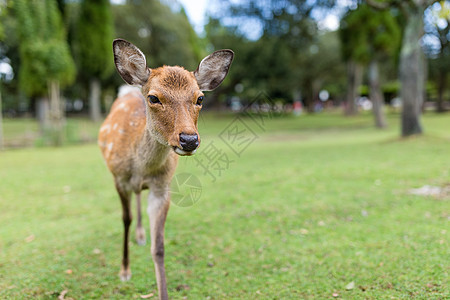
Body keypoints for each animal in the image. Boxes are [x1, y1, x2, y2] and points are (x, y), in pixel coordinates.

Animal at [97, 38, 234, 298]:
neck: (140, 167)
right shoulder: (118, 179)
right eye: (153, 98)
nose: (189, 140)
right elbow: (125, 219)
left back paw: (142, 235)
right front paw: (124, 271)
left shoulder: (162, 187)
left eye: (200, 98)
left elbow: (159, 247)